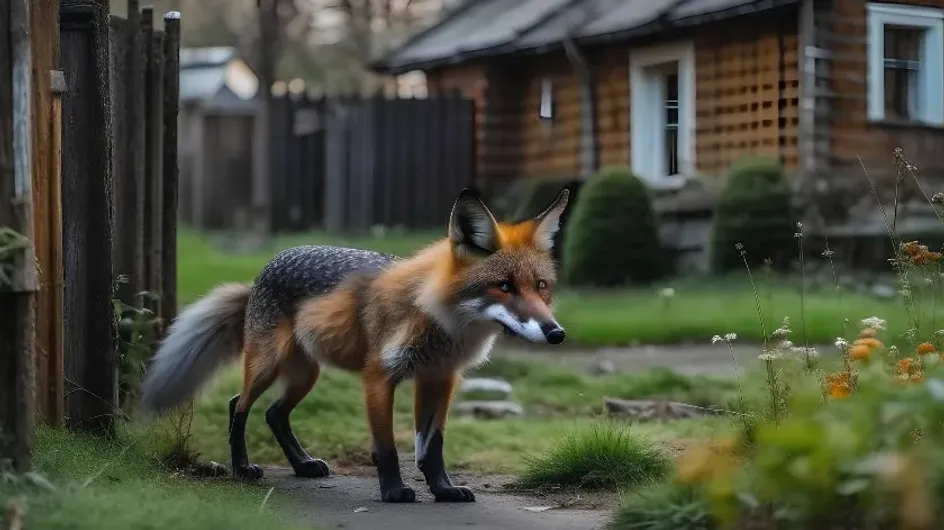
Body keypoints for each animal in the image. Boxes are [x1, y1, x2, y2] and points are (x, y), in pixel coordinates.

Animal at [139, 187, 568, 504]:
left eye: (541, 287)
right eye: (504, 286)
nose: (556, 333)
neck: (441, 323)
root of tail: (264, 270)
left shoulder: (439, 378)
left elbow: (431, 448)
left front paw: (443, 489)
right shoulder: (379, 376)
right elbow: (387, 448)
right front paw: (394, 492)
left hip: (306, 375)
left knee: (274, 414)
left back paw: (303, 465)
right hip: (267, 366)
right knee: (238, 406)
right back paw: (242, 468)